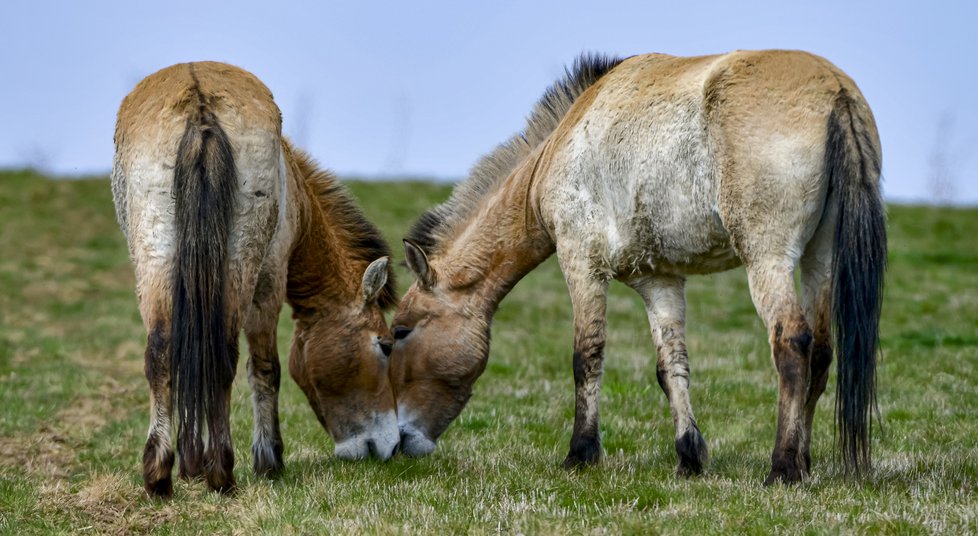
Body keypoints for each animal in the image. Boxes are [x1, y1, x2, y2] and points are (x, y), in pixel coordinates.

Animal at [107, 62, 396, 498]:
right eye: (384, 345)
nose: (390, 445)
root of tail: (200, 106)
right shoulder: (270, 278)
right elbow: (265, 368)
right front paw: (268, 460)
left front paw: (191, 464)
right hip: (243, 270)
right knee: (230, 358)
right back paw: (222, 473)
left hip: (158, 262)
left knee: (162, 353)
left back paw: (161, 476)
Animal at [388, 51, 884, 486]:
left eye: (401, 332)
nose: (400, 441)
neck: (564, 143)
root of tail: (836, 92)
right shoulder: (658, 281)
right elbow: (671, 367)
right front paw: (689, 456)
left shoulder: (581, 264)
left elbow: (586, 358)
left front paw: (581, 454)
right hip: (820, 258)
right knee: (820, 352)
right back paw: (803, 461)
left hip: (768, 260)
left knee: (792, 343)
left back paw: (782, 469)